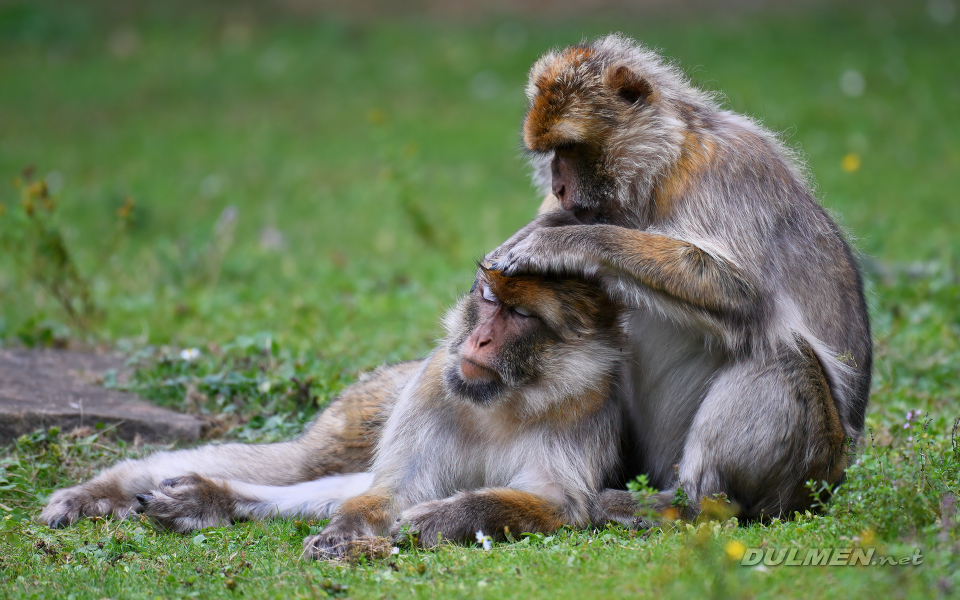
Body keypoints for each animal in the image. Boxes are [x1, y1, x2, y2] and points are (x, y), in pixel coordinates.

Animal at [486, 33, 872, 522]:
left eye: (569, 149)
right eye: (553, 154)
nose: (557, 186)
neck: (661, 169)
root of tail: (837, 475)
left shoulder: (724, 172)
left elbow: (742, 293)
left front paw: (565, 243)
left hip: (811, 468)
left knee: (783, 354)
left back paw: (683, 504)